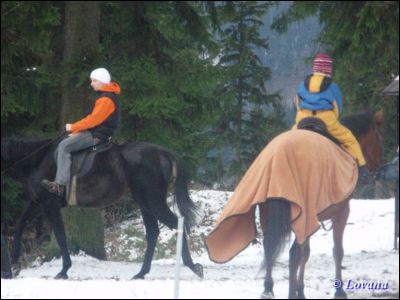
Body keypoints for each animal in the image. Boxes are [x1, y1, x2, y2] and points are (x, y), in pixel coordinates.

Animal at [0, 137, 203, 280]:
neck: (38, 160)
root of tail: (161, 151)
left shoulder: (50, 204)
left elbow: (61, 237)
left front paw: (64, 270)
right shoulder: (38, 203)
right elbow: (20, 225)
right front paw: (15, 266)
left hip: (153, 201)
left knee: (176, 225)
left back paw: (192, 266)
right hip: (144, 202)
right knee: (153, 232)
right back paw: (141, 273)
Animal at [260, 110, 382, 300]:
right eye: (378, 137)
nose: (378, 168)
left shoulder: (311, 219)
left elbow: (306, 253)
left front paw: (301, 290)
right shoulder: (341, 212)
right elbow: (337, 251)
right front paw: (339, 291)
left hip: (268, 215)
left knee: (269, 247)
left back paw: (267, 288)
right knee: (293, 253)